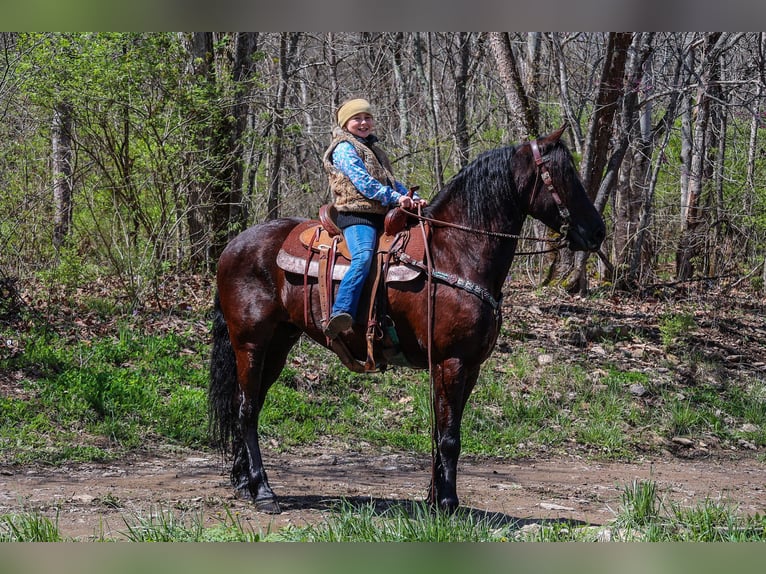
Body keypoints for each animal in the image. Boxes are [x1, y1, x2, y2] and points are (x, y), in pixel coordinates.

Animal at [208, 125, 608, 512]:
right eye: (563, 175)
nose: (597, 232)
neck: (456, 253)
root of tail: (232, 246)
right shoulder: (451, 361)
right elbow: (449, 436)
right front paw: (447, 503)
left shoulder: (468, 366)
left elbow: (442, 430)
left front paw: (434, 497)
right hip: (251, 343)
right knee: (246, 410)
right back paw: (263, 492)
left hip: (278, 344)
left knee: (248, 405)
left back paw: (243, 483)